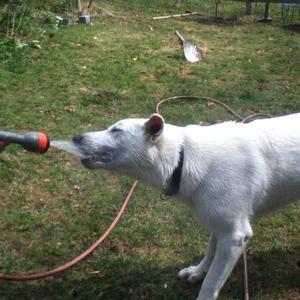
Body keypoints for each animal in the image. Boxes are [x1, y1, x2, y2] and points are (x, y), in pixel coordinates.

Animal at [71, 113, 300, 300]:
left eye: (116, 130)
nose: (76, 137)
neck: (183, 158)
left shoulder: (235, 236)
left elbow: (210, 285)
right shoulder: (220, 227)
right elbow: (210, 253)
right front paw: (198, 272)